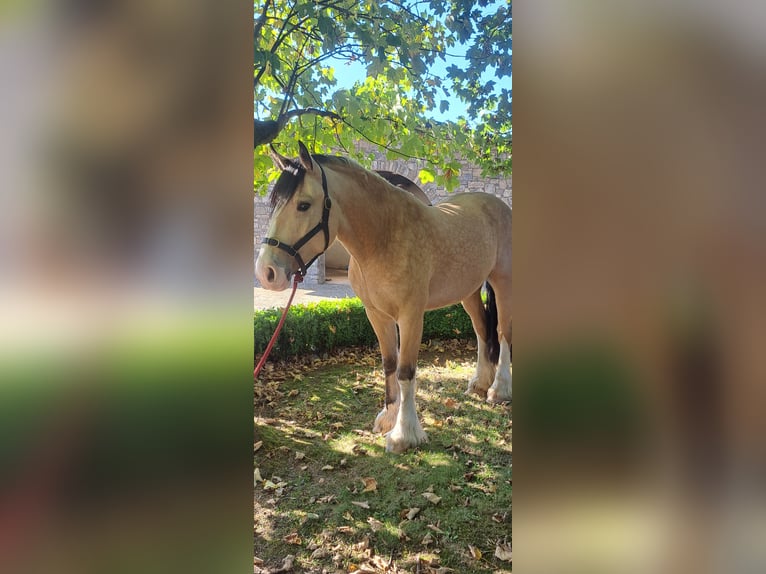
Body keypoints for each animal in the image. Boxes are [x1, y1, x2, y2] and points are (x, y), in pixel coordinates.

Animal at [255, 141, 512, 454]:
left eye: (303, 204)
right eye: (274, 204)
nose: (266, 272)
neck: (384, 238)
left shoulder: (411, 316)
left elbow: (405, 371)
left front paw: (404, 434)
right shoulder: (376, 314)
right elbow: (389, 363)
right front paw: (388, 419)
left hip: (503, 283)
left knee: (502, 332)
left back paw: (498, 389)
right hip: (469, 290)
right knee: (482, 330)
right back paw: (479, 384)